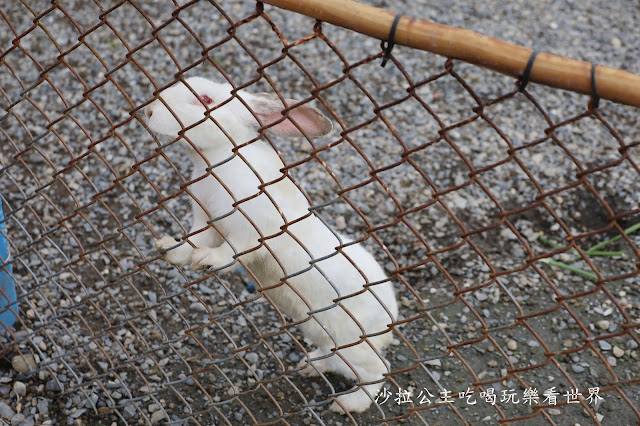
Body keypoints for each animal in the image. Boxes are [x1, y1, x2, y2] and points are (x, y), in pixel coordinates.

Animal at [146, 76, 398, 412]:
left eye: (205, 99)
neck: (219, 156)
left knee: (378, 371)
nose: (149, 111)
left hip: (352, 345)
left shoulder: (248, 232)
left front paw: (207, 261)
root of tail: (391, 317)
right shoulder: (206, 220)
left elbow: (231, 254)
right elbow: (192, 240)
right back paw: (310, 366)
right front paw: (169, 250)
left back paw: (348, 404)